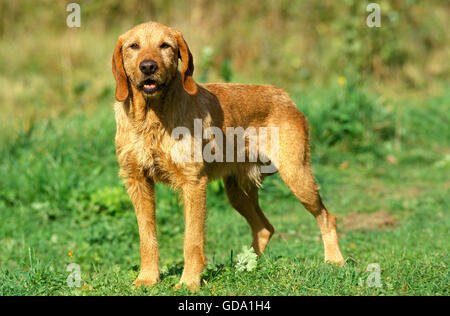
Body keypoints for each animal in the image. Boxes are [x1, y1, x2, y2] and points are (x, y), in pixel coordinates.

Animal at [112, 21, 344, 290]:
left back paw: (334, 260)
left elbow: (192, 240)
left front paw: (189, 282)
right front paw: (147, 278)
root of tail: (284, 96)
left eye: (165, 46)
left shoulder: (193, 183)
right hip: (237, 192)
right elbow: (147, 238)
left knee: (327, 217)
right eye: (134, 46)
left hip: (297, 177)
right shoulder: (137, 181)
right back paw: (245, 265)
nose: (148, 66)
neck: (150, 118)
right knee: (264, 227)